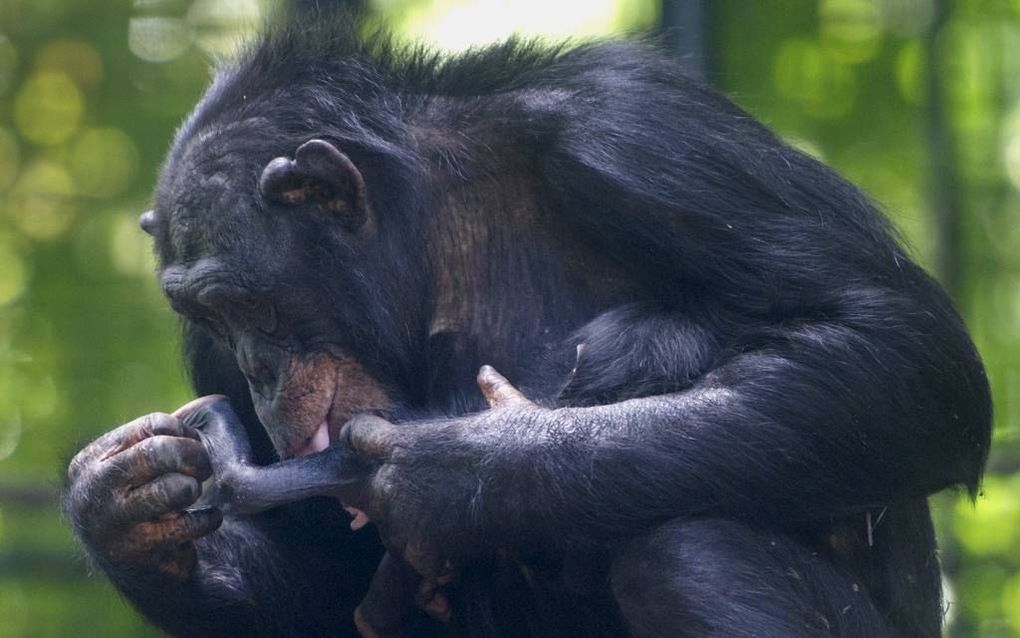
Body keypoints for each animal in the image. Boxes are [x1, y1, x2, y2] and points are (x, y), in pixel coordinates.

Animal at [63, 6, 987, 636]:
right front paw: (122, 507)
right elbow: (330, 588)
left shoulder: (638, 130)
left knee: (691, 556)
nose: (256, 373)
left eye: (249, 303)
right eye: (209, 317)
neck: (434, 231)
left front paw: (460, 469)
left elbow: (896, 344)